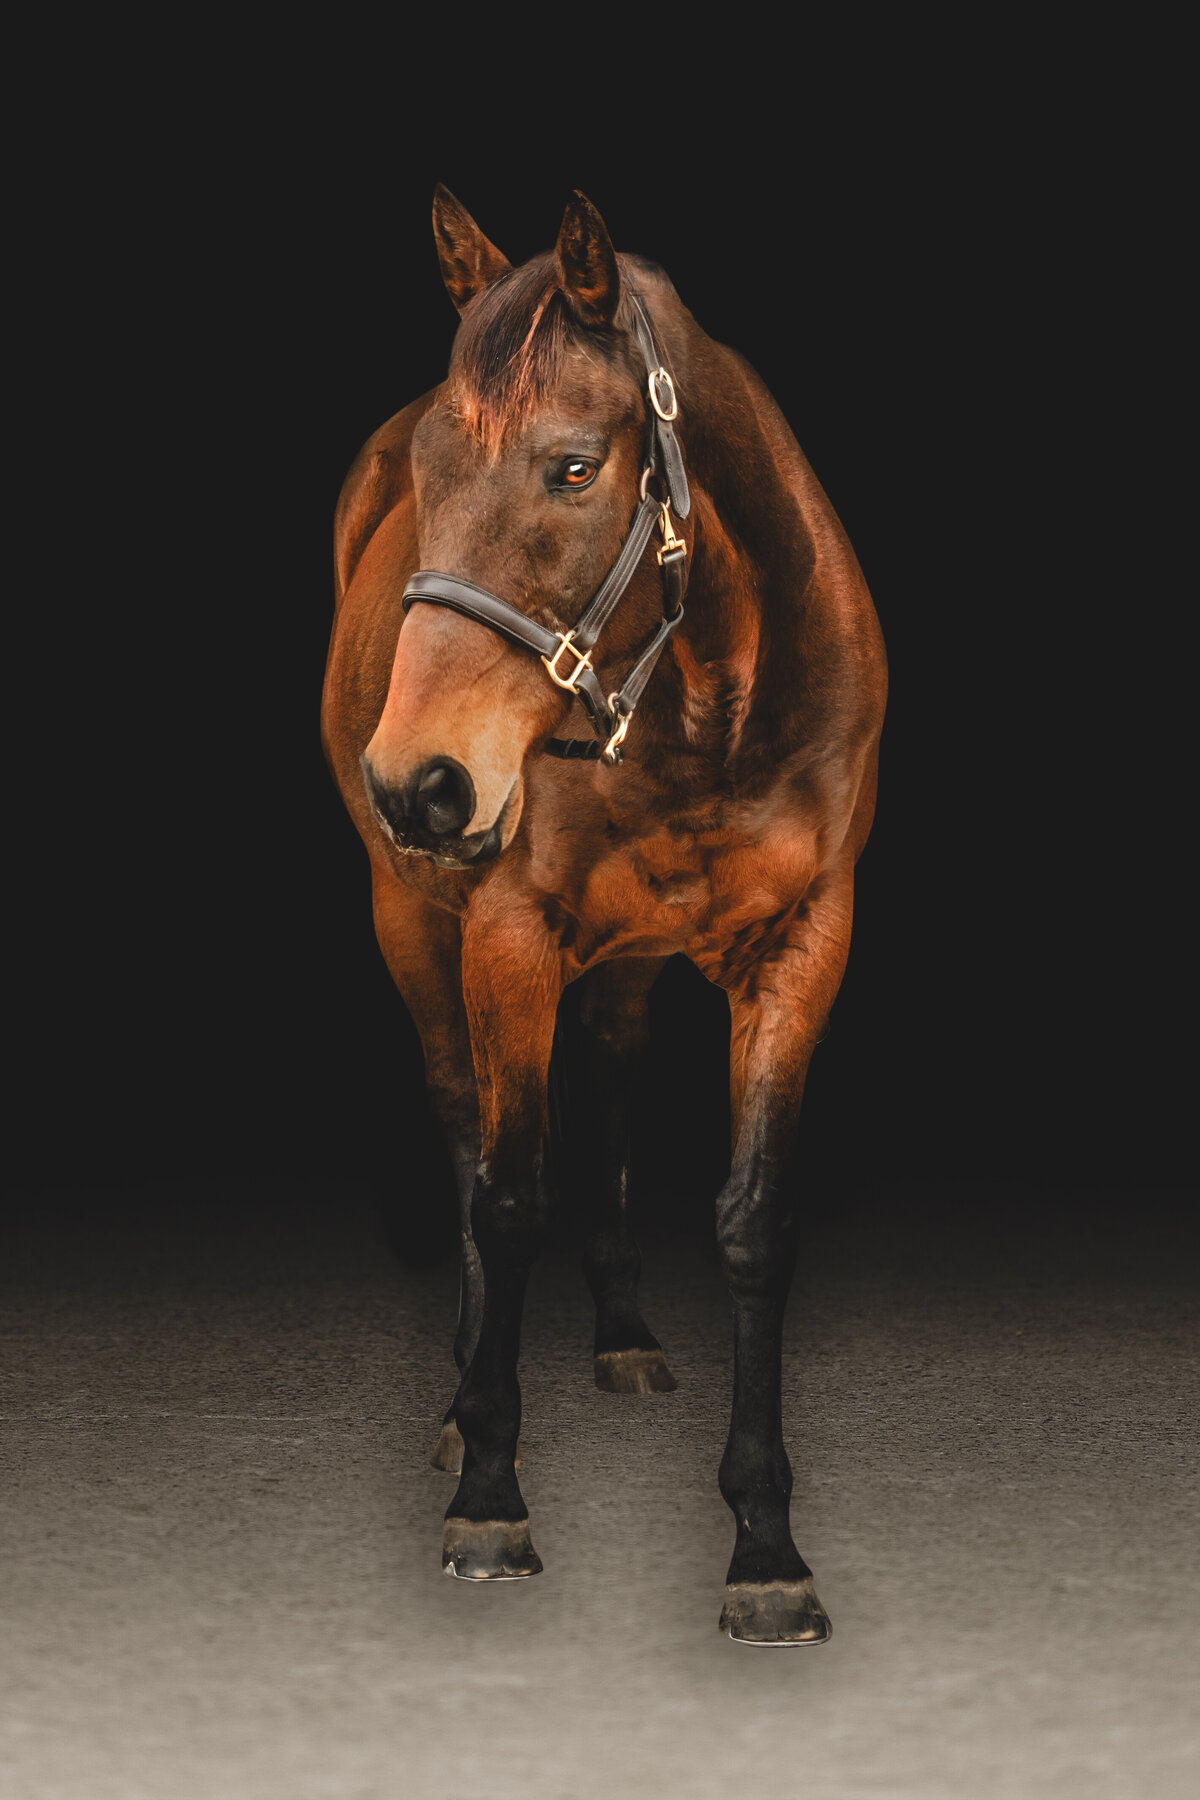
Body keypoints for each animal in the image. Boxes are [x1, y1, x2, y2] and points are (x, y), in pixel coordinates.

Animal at [323, 186, 888, 1648]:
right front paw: (490, 1493)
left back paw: (624, 1334)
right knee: (466, 1132)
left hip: (632, 960)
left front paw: (765, 1546)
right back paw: (464, 1397)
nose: (418, 781)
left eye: (575, 469)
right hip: (414, 925)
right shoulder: (506, 936)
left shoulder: (805, 944)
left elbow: (754, 1219)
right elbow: (508, 1190)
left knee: (620, 1079)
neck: (702, 694)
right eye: (427, 473)